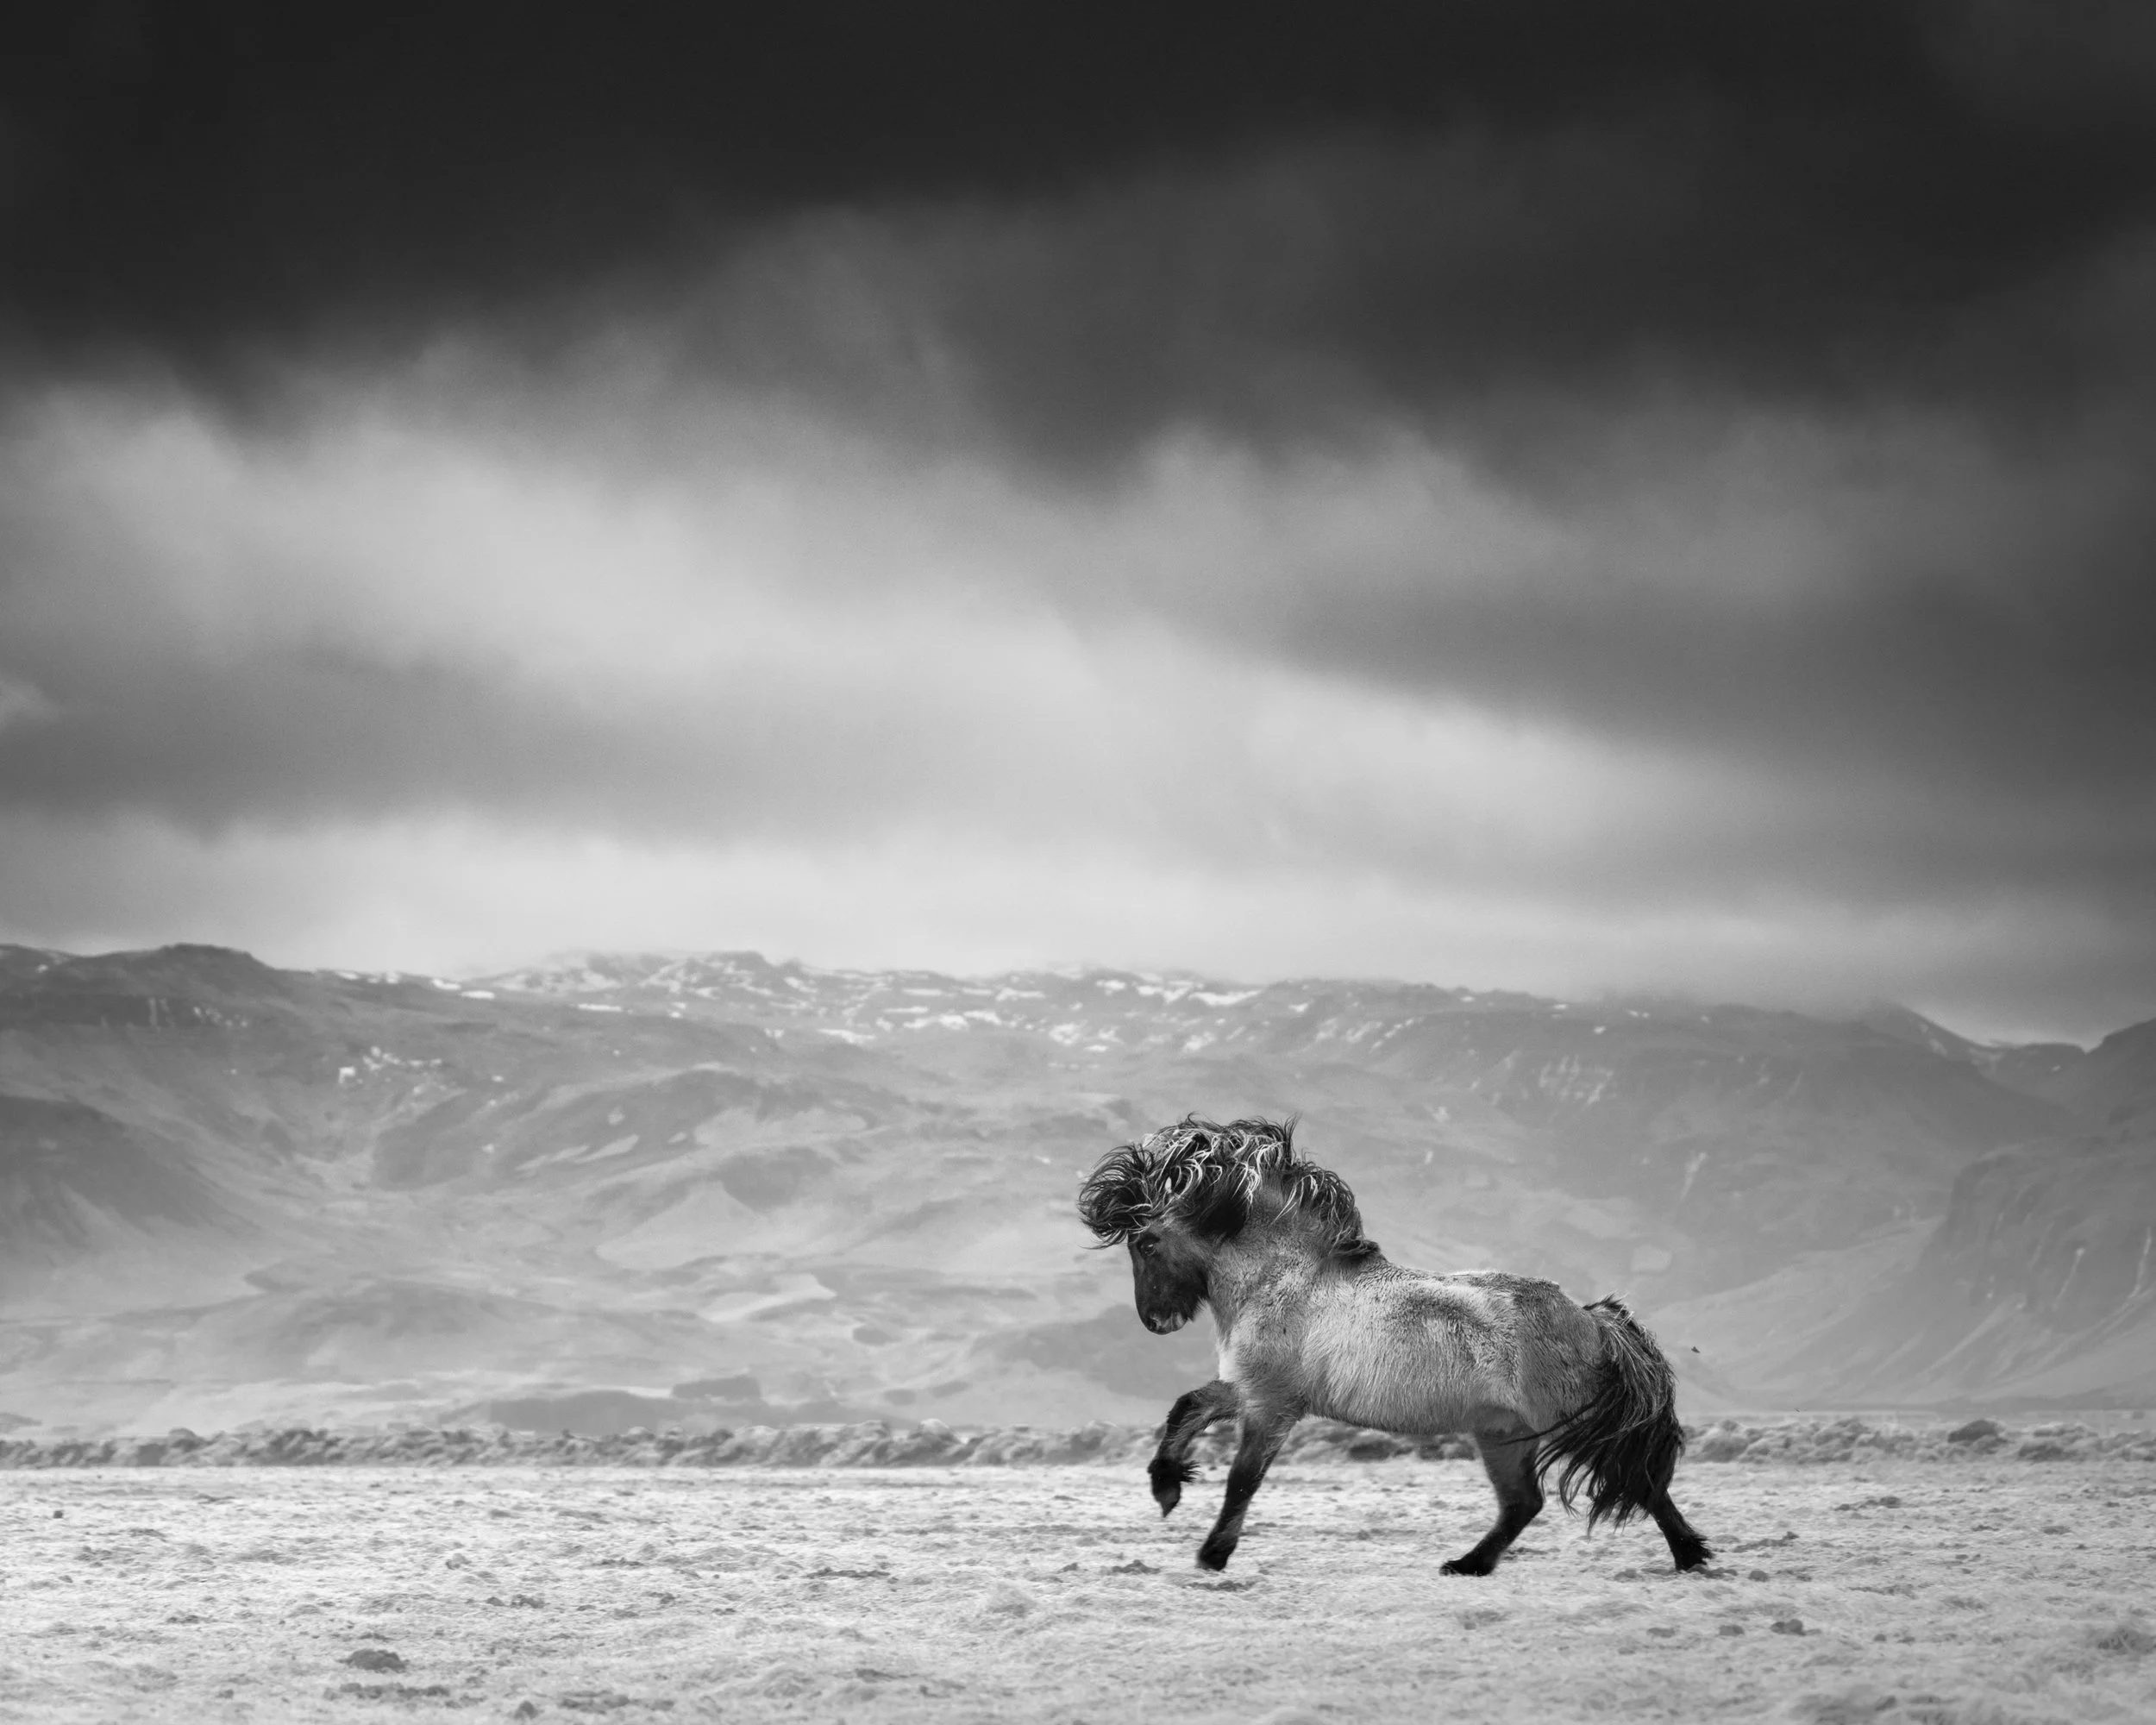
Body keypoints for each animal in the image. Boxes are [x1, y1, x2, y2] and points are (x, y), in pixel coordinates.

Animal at [1077, 1114, 1713, 1576]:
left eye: (1147, 1242)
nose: (1155, 1320)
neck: (1284, 1278)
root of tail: (1593, 1319)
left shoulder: (1273, 1404)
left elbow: (1243, 1478)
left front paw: (1212, 1554)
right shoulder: (1252, 1390)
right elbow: (1186, 1408)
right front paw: (1166, 1488)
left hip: (1569, 1422)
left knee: (1637, 1481)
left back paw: (1691, 1556)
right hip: (1502, 1433)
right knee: (1522, 1503)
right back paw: (1468, 1565)